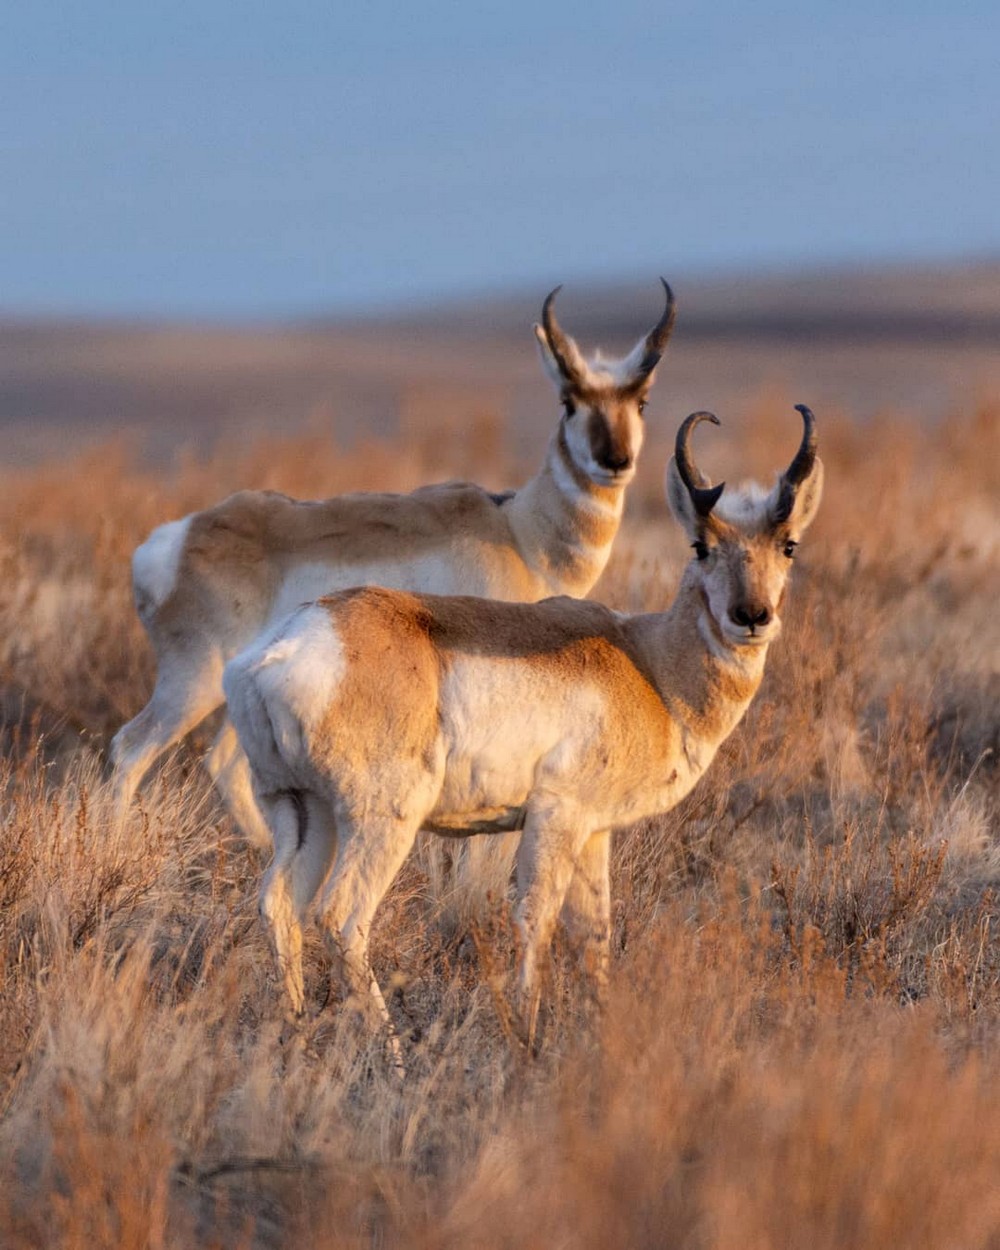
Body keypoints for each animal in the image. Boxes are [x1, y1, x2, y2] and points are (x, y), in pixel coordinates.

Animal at [109, 283, 675, 845]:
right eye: (569, 400)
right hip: (194, 685)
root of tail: (173, 539)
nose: (615, 461)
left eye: (641, 400)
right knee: (131, 747)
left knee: (223, 765)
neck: (518, 530)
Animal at [225, 405, 820, 1040]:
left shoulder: (594, 832)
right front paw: (527, 1037)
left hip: (304, 812)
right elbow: (537, 920)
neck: (646, 662)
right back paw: (392, 1048)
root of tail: (285, 646)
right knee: (339, 917)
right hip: (382, 822)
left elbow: (594, 935)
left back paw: (295, 1031)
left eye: (788, 544)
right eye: (701, 545)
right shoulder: (556, 819)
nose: (751, 616)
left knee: (279, 905)